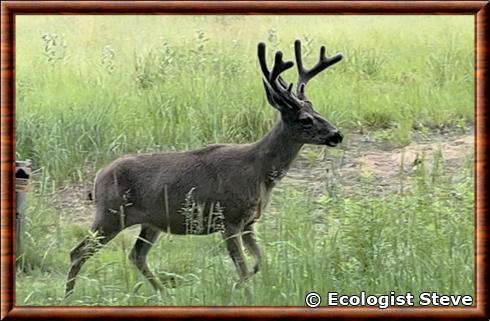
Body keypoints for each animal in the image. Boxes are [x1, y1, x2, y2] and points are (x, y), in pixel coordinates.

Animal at [63, 40, 342, 298]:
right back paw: (68, 296)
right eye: (305, 119)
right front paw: (242, 292)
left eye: (315, 109)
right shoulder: (229, 218)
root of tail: (98, 177)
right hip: (110, 214)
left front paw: (239, 286)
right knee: (78, 252)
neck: (259, 172)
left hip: (150, 222)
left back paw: (165, 294)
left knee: (136, 255)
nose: (336, 134)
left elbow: (258, 262)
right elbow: (243, 266)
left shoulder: (250, 221)